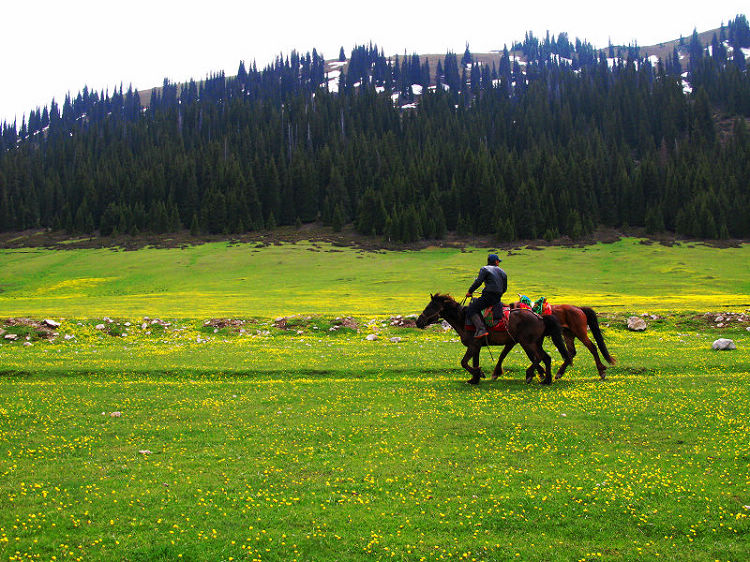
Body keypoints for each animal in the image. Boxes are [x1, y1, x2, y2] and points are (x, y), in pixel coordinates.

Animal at [418, 294, 568, 380]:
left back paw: (530, 375)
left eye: (430, 307)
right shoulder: (477, 347)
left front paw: (479, 374)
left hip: (528, 343)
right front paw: (475, 378)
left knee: (539, 358)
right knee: (546, 358)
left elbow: (464, 362)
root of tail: (540, 317)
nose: (418, 321)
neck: (463, 319)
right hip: (534, 343)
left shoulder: (472, 346)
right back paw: (546, 380)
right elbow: (474, 362)